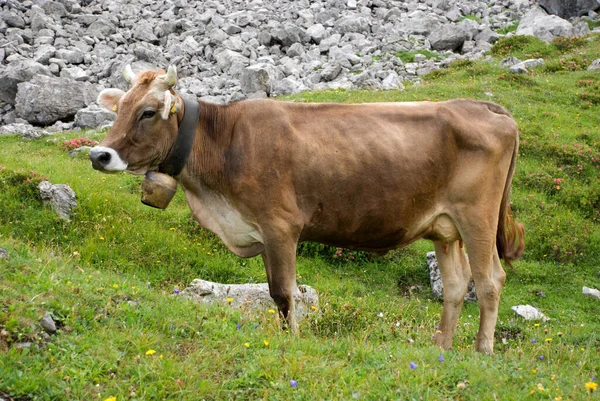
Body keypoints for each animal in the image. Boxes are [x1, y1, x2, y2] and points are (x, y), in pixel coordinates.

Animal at [89, 66, 524, 354]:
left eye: (147, 112)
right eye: (119, 108)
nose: (98, 155)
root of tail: (484, 106)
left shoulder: (280, 225)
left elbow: (284, 293)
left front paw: (294, 341)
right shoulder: (261, 231)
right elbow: (273, 292)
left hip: (478, 217)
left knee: (489, 280)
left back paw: (482, 351)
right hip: (445, 227)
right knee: (456, 284)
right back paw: (442, 347)